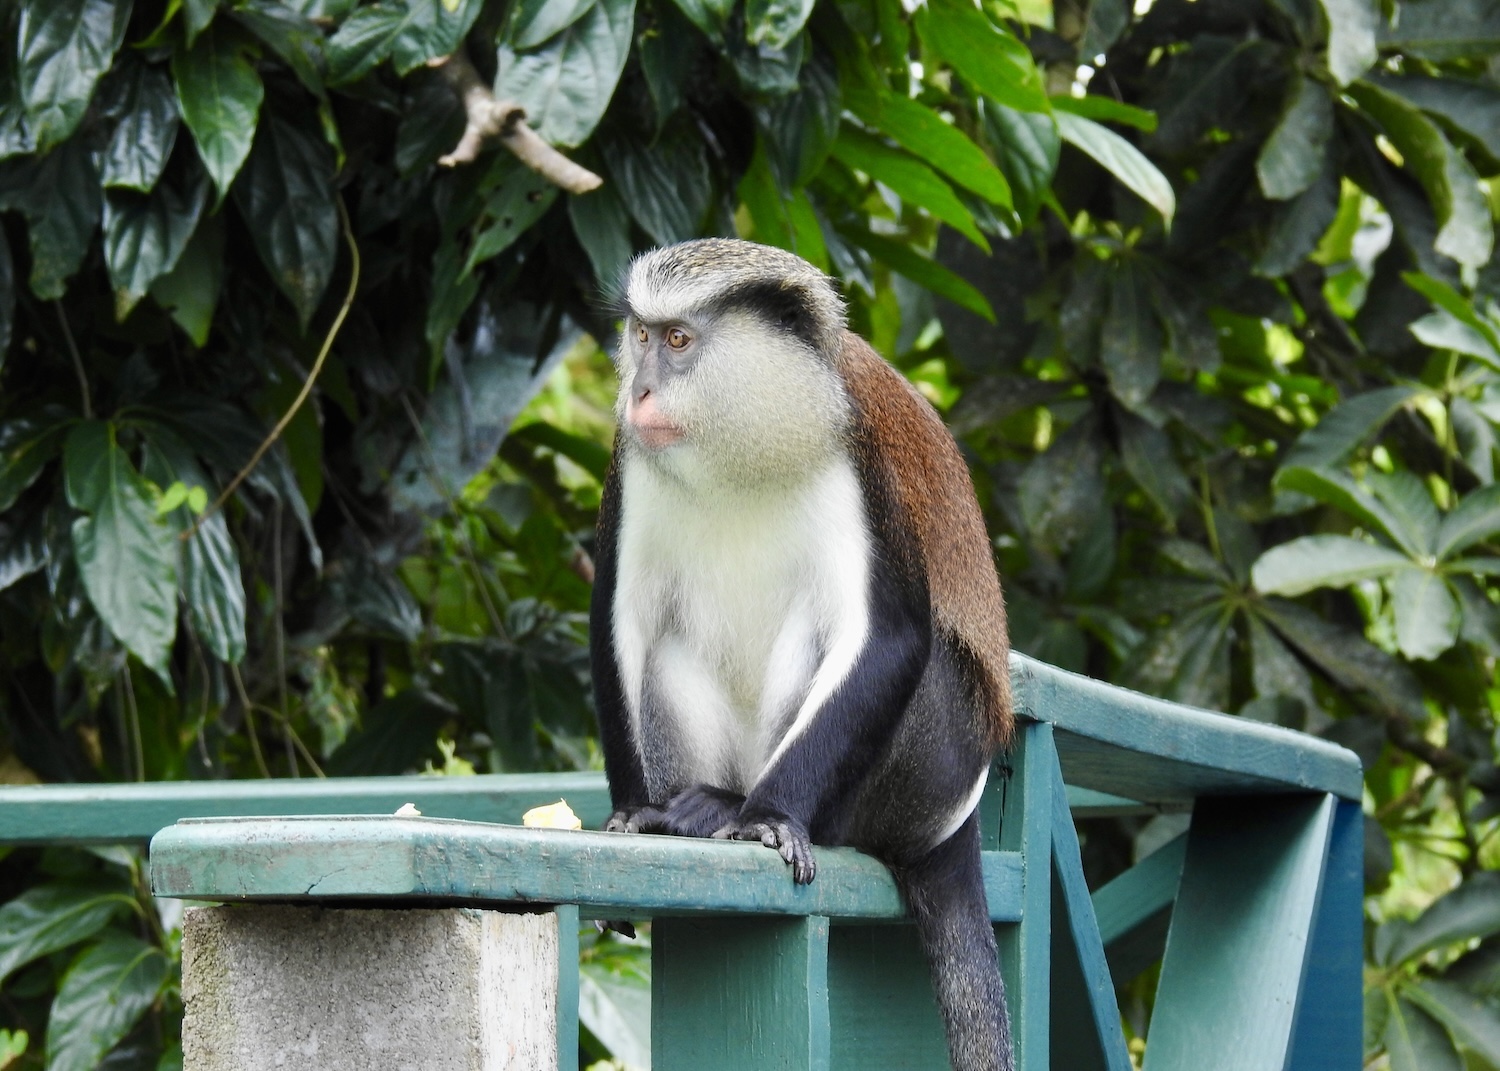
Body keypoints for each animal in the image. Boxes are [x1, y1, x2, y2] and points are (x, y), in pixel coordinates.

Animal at [589, 238, 1014, 1071]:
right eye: (642, 336)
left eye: (680, 340)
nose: (642, 390)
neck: (740, 444)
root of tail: (955, 824)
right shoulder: (632, 459)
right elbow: (619, 619)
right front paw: (630, 812)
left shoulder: (862, 461)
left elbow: (889, 635)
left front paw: (772, 818)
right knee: (664, 647)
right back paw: (700, 803)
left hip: (929, 762)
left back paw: (749, 808)